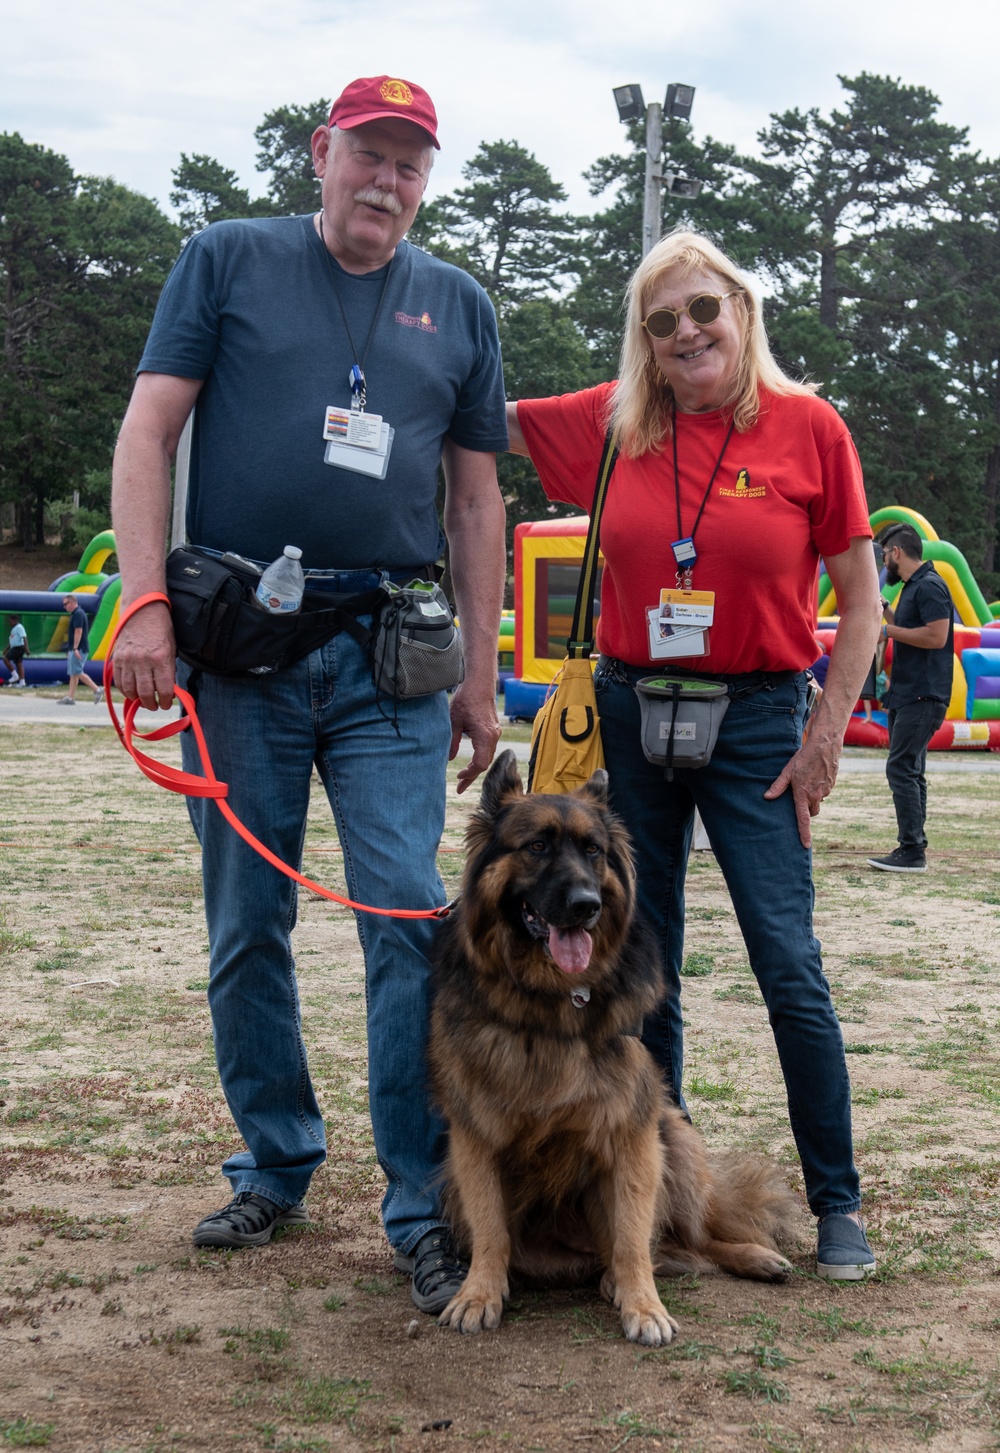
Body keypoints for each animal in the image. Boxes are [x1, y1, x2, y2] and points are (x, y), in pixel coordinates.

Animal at [430, 755, 796, 1342]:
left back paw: (749, 1257)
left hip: (674, 1139)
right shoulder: (476, 1133)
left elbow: (630, 1236)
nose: (587, 905)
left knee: (685, 1240)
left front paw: (644, 1306)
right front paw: (478, 1293)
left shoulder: (632, 1129)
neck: (550, 1000)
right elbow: (491, 1228)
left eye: (593, 851)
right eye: (537, 846)